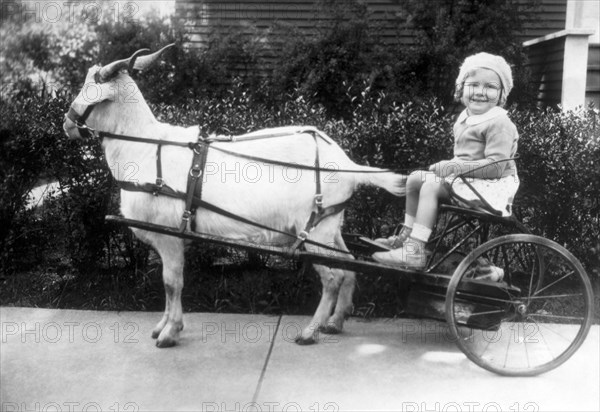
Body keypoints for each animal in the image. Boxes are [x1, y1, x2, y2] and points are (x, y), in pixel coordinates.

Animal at [63, 45, 406, 348]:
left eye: (89, 87)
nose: (67, 123)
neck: (147, 147)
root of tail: (349, 166)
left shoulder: (169, 235)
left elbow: (172, 283)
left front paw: (169, 333)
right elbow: (168, 283)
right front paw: (163, 326)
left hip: (313, 230)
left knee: (332, 277)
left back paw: (310, 332)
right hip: (330, 224)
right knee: (348, 265)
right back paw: (335, 322)